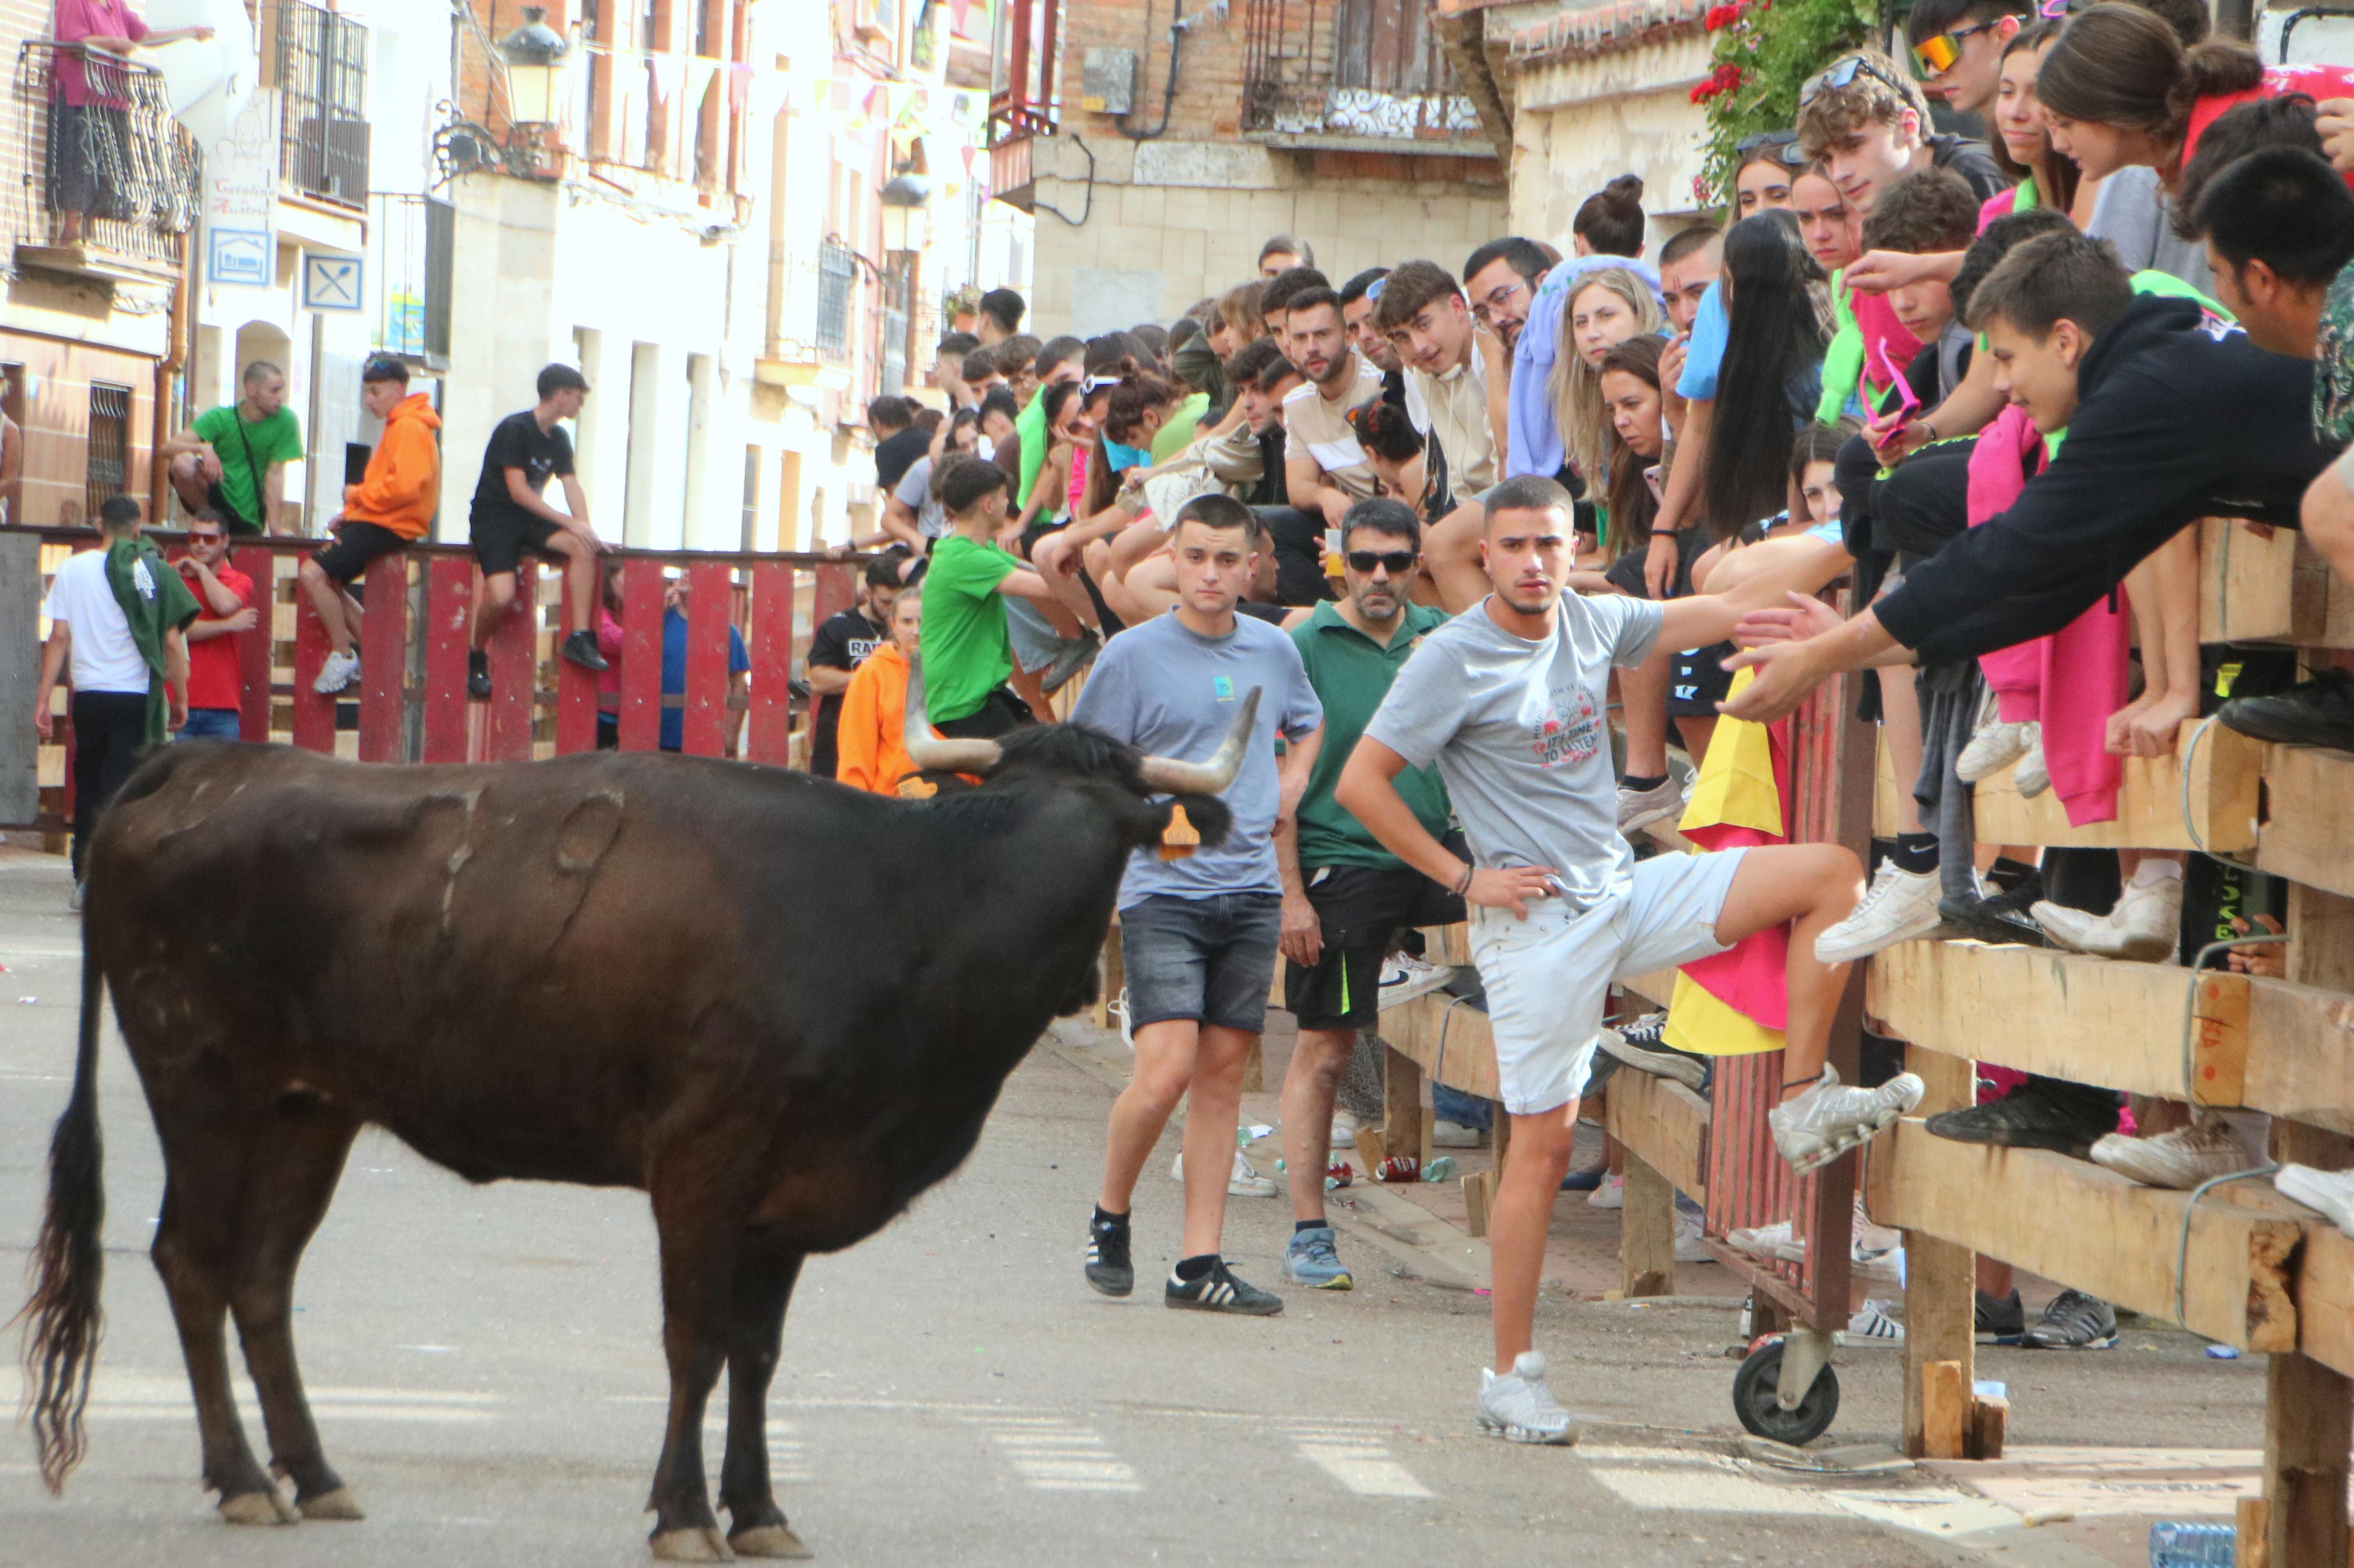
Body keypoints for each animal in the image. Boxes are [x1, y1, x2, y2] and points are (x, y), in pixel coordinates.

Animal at [18, 692, 1262, 1553]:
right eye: (1005, 807)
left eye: (1115, 828)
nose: (1073, 969)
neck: (906, 922)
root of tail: (207, 759)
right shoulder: (704, 1161)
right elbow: (694, 1343)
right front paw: (682, 1512)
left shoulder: (785, 1196)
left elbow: (757, 1353)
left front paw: (757, 1508)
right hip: (202, 1085)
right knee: (193, 1260)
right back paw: (240, 1480)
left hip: (306, 1108)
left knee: (263, 1273)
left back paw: (312, 1474)